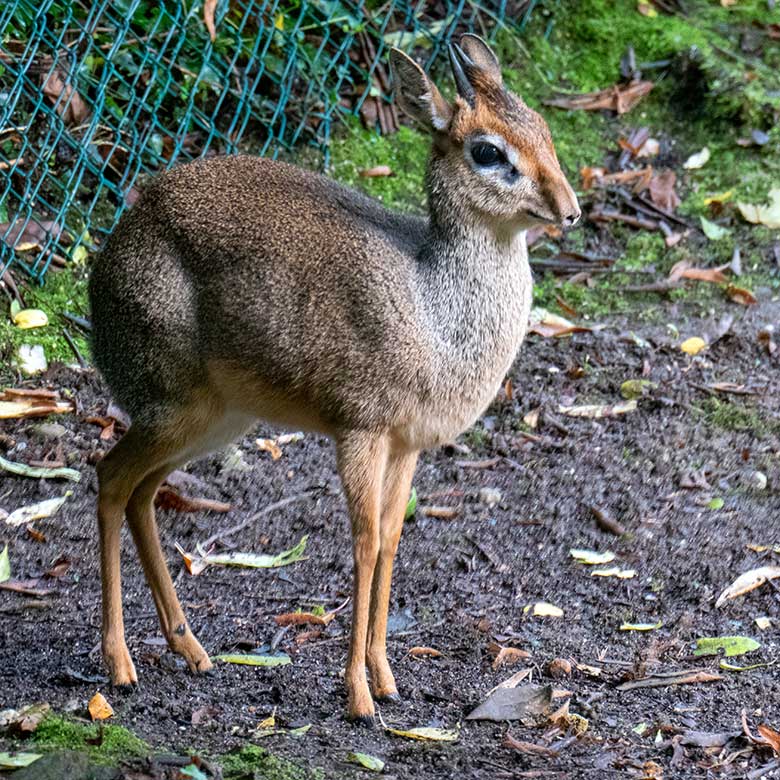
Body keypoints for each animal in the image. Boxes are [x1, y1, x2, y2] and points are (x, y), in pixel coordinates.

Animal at [90, 35, 580, 720]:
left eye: (542, 127)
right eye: (488, 151)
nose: (570, 209)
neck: (433, 306)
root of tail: (110, 254)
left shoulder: (407, 444)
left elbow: (394, 540)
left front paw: (386, 676)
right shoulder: (360, 431)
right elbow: (364, 542)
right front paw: (358, 695)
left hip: (213, 421)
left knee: (140, 492)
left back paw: (191, 649)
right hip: (172, 407)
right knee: (109, 478)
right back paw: (120, 664)